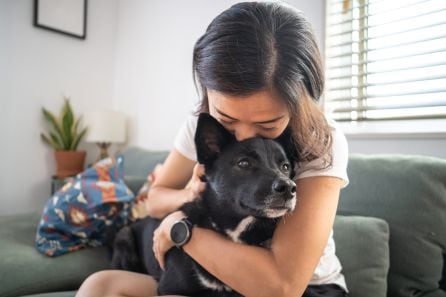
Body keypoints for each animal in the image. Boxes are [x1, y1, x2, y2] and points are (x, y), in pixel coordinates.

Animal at [111, 112, 300, 294]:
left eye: (285, 167)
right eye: (244, 162)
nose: (289, 188)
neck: (234, 228)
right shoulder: (170, 288)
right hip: (124, 238)